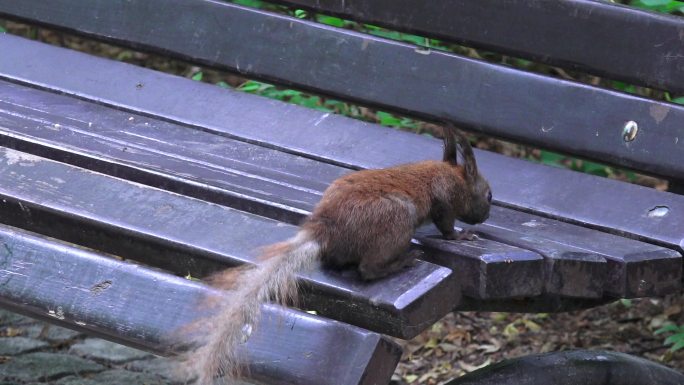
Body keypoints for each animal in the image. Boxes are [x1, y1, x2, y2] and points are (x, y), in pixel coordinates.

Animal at [186, 124, 492, 382]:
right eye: (489, 195)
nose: (485, 216)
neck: (452, 173)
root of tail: (325, 231)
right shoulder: (444, 199)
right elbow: (446, 223)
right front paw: (460, 236)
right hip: (397, 217)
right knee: (368, 269)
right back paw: (403, 261)